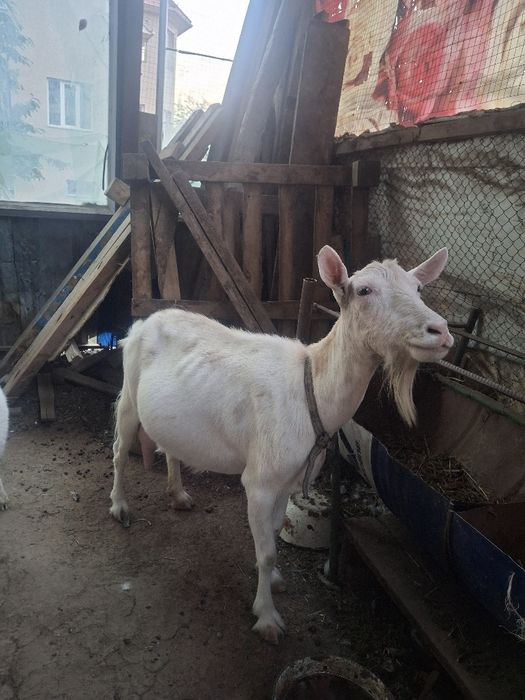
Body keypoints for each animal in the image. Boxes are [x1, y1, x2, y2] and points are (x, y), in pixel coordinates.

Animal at [110, 245, 453, 644]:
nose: (440, 331)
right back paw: (119, 506)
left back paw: (178, 495)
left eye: (418, 288)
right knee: (119, 449)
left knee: (169, 448)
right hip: (129, 391)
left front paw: (273, 582)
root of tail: (145, 321)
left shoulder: (289, 480)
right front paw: (267, 618)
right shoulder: (260, 481)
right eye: (364, 290)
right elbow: (267, 552)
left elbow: (274, 534)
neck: (312, 388)